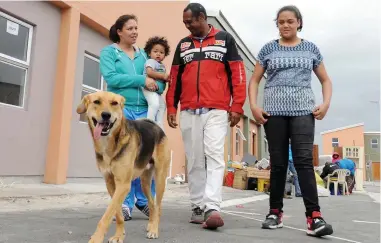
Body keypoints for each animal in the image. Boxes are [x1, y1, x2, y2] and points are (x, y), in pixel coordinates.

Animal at [76, 90, 170, 241]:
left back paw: (154, 230)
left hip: (160, 178)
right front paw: (119, 235)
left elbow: (107, 215)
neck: (109, 144)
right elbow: (117, 213)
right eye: (96, 101)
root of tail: (155, 125)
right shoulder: (111, 183)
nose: (106, 115)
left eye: (114, 103)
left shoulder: (123, 184)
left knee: (158, 206)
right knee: (151, 204)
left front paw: (96, 238)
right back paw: (151, 225)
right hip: (144, 182)